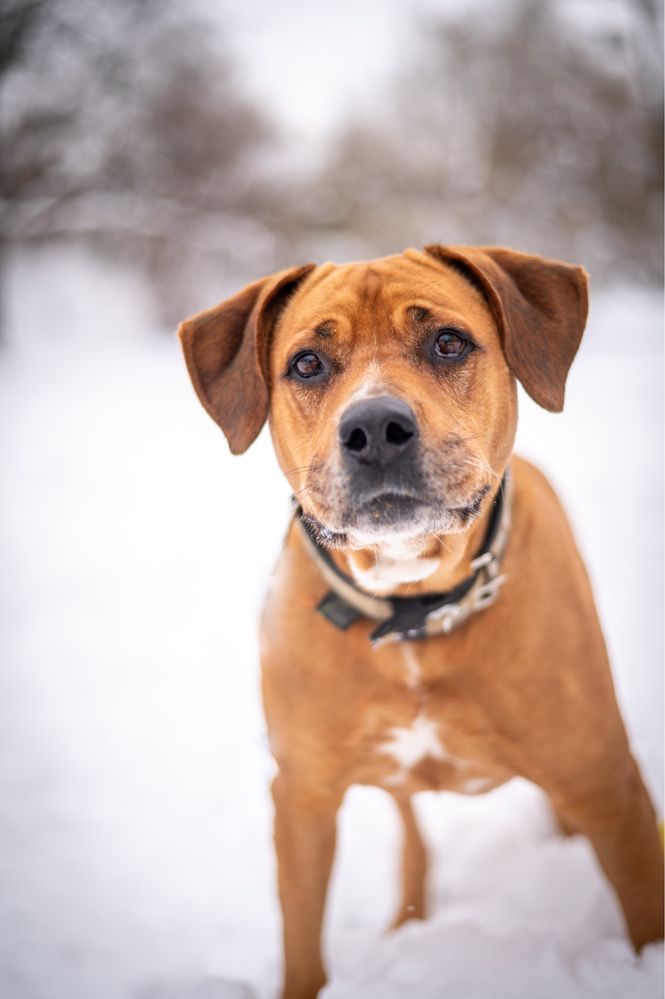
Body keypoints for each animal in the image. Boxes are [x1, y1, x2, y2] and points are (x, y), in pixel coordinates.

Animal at [178, 244, 664, 999]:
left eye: (448, 342)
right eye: (307, 363)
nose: (374, 428)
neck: (413, 612)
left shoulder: (607, 785)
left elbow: (644, 913)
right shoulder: (301, 798)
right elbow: (302, 945)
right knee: (411, 834)